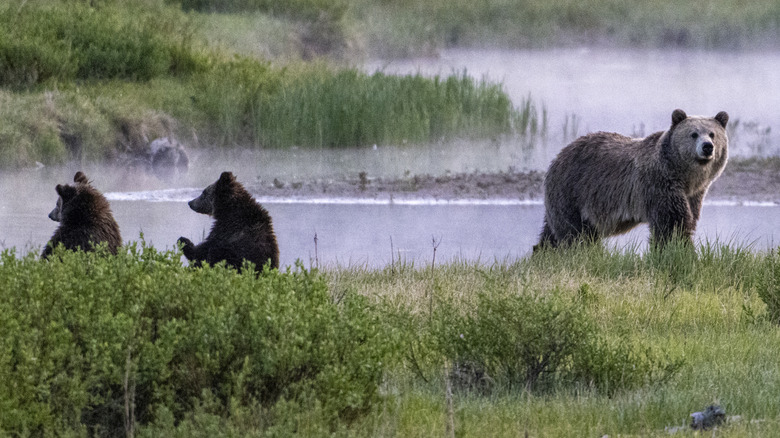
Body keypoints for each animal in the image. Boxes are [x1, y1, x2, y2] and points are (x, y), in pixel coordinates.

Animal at [535, 109, 729, 251]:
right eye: (694, 134)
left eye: (712, 134)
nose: (707, 147)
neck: (685, 177)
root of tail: (559, 155)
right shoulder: (659, 184)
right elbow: (672, 224)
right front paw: (681, 251)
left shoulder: (693, 195)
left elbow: (688, 218)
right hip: (573, 191)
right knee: (575, 232)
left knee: (551, 231)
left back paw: (542, 251)